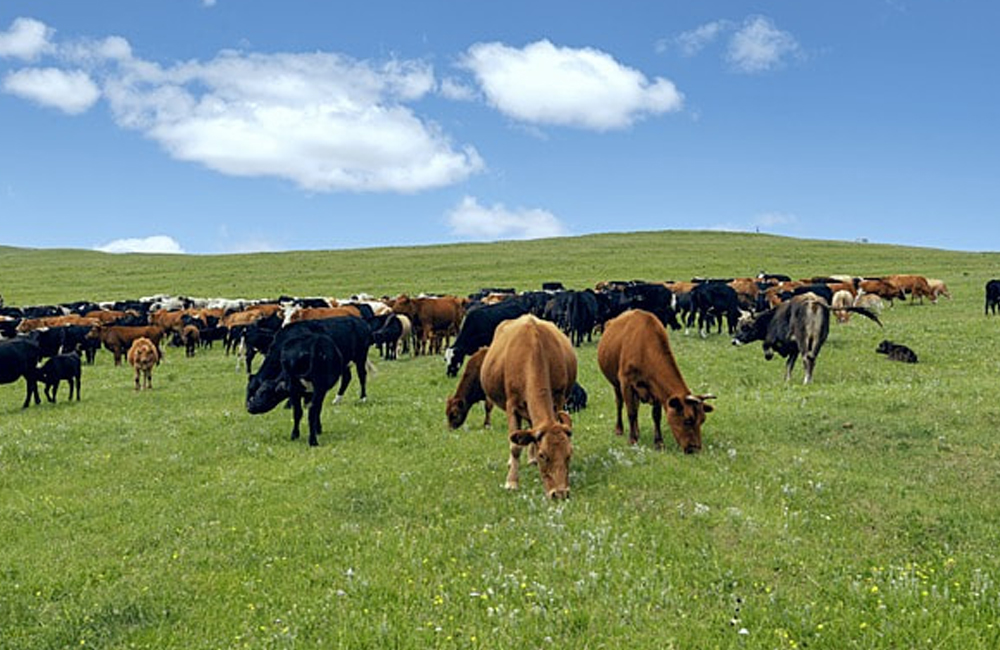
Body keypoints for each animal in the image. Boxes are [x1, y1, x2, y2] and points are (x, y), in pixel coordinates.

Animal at [480, 315, 577, 499]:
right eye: (543, 455)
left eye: (569, 454)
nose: (560, 493)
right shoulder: (511, 406)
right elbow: (515, 446)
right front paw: (511, 482)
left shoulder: (559, 398)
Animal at [598, 309, 714, 453]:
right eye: (687, 420)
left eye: (702, 420)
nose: (695, 448)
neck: (644, 349)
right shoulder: (626, 384)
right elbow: (631, 412)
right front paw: (632, 439)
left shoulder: (656, 388)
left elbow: (656, 415)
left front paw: (659, 442)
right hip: (615, 383)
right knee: (620, 403)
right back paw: (620, 429)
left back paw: (637, 430)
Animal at [732, 293, 881, 384]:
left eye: (745, 327)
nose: (734, 341)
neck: (772, 319)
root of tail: (813, 302)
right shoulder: (794, 350)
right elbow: (789, 364)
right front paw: (787, 379)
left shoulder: (779, 342)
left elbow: (767, 347)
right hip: (818, 340)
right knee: (812, 358)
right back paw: (809, 379)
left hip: (803, 339)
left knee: (806, 358)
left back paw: (806, 381)